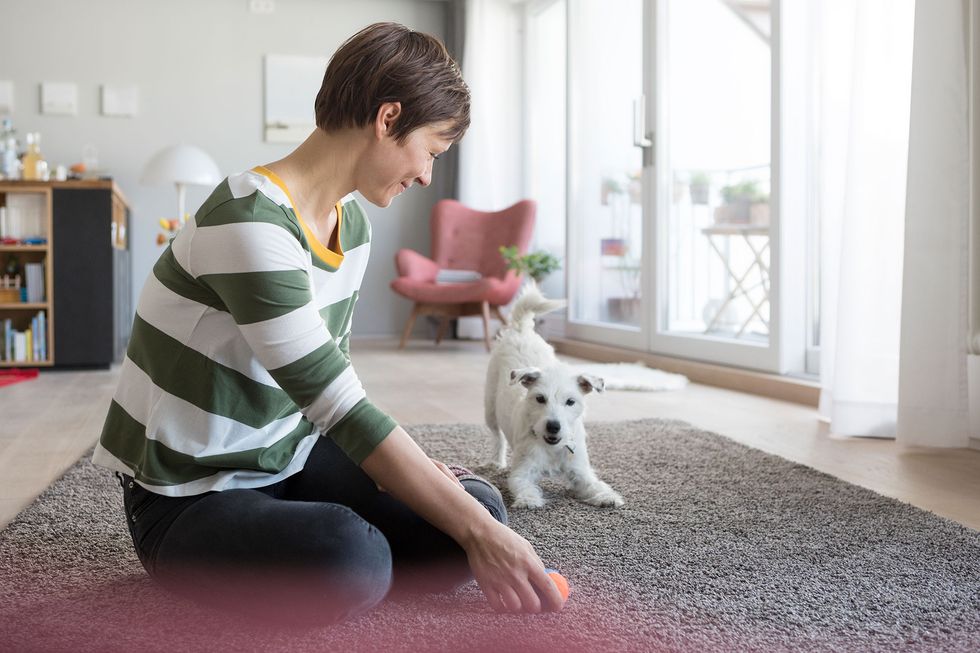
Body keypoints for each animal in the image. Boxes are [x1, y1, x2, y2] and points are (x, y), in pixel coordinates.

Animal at [486, 286, 624, 510]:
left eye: (570, 402)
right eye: (540, 398)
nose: (553, 426)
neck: (552, 447)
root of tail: (521, 329)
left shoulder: (580, 472)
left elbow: (594, 484)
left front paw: (607, 496)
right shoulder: (522, 472)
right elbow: (524, 485)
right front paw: (529, 500)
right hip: (489, 409)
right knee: (497, 438)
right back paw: (497, 462)